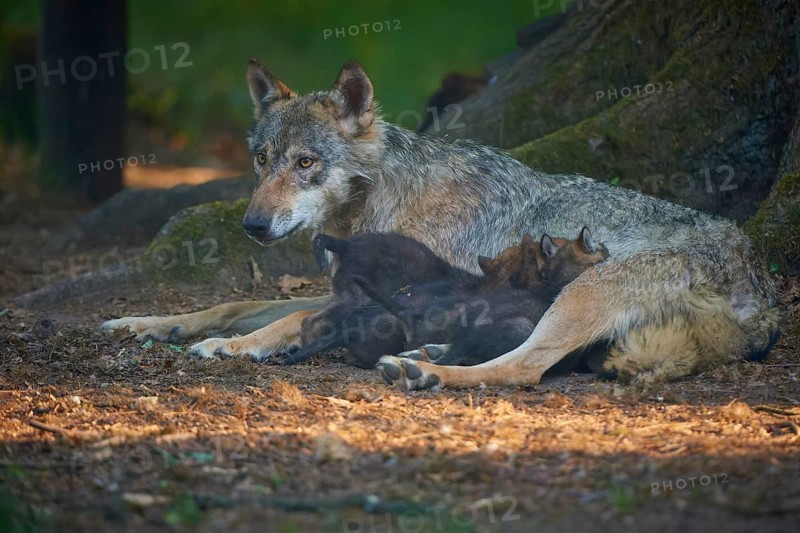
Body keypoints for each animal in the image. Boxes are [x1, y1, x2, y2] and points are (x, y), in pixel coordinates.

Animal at [101, 59, 781, 388]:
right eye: (262, 161)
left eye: (305, 164)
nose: (252, 225)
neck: (383, 200)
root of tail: (764, 299)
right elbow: (229, 304)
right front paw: (149, 323)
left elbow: (286, 318)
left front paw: (234, 347)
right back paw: (420, 353)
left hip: (581, 294)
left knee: (524, 369)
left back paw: (424, 369)